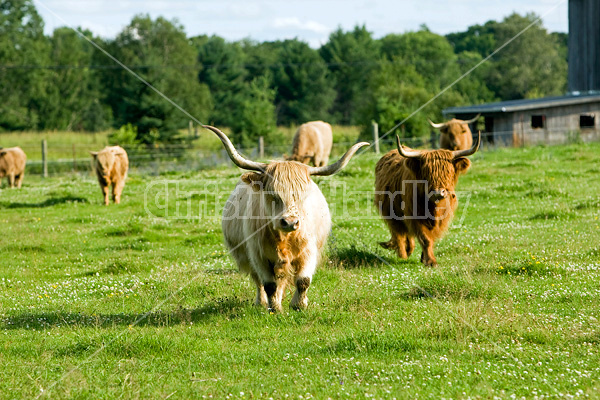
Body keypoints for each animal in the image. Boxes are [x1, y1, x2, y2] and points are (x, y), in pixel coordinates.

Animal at [204, 125, 368, 312]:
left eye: (303, 195)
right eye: (272, 194)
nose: (290, 222)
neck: (284, 238)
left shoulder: (309, 251)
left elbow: (303, 280)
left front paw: (299, 304)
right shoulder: (258, 255)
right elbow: (269, 284)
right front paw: (274, 308)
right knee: (259, 280)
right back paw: (261, 302)